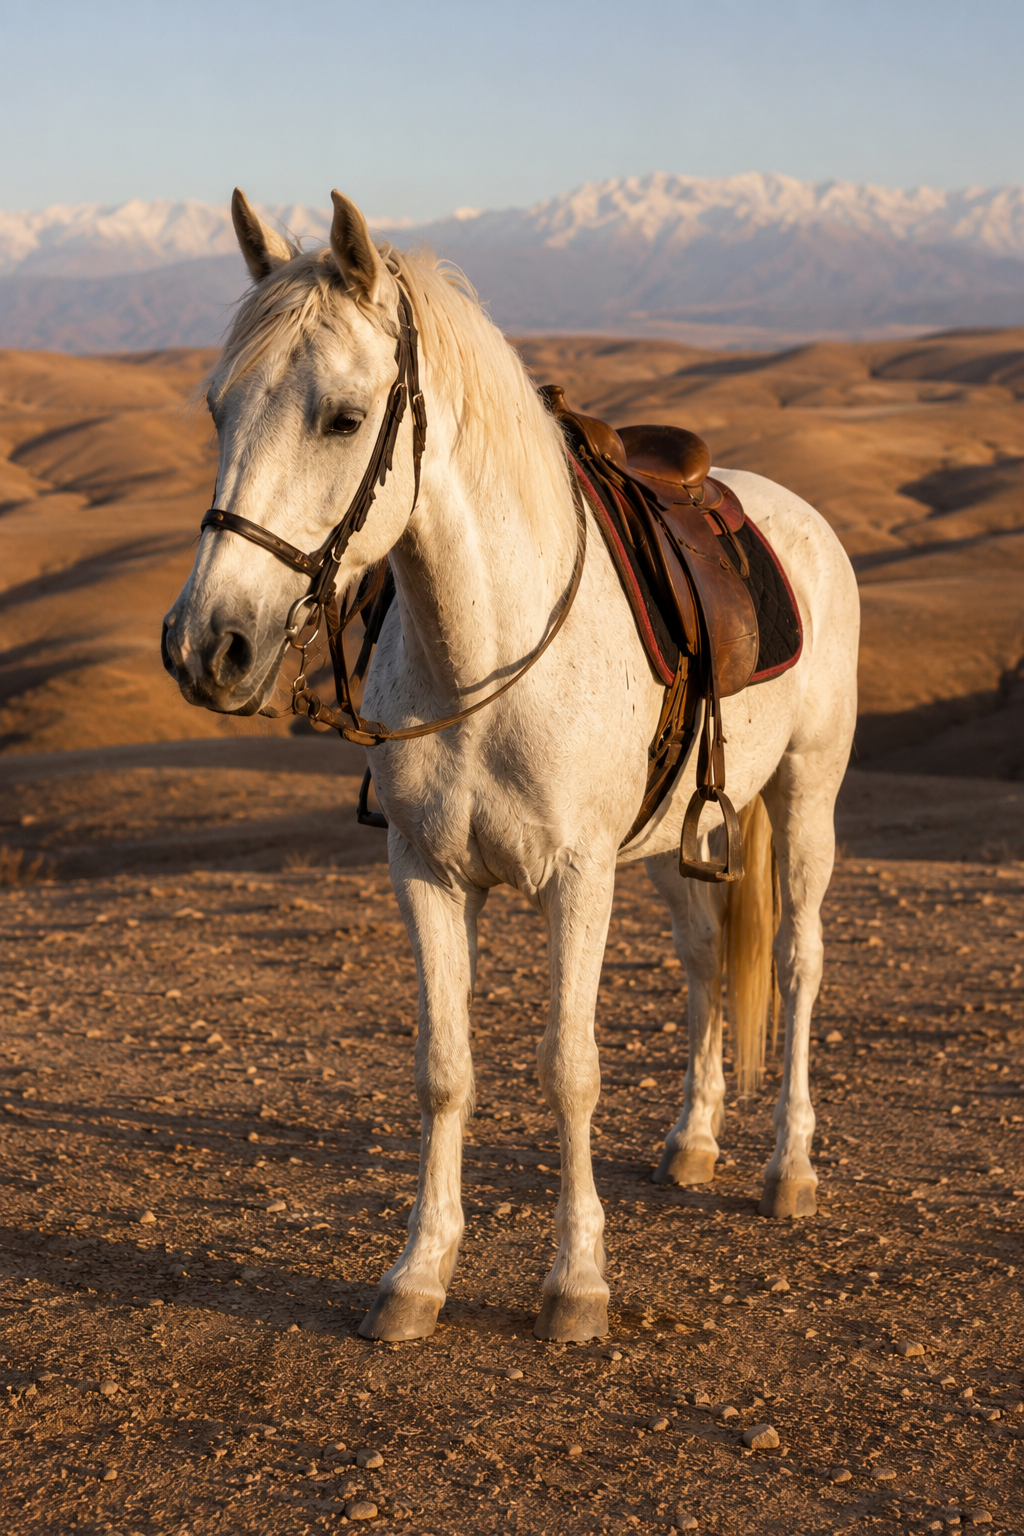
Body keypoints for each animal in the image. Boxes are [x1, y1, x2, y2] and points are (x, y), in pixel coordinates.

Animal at [161, 187, 860, 1344]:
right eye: (218, 410)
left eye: (342, 417)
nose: (205, 646)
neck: (485, 650)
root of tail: (790, 510)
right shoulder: (429, 875)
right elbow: (445, 1072)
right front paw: (417, 1275)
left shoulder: (575, 879)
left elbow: (568, 1070)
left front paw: (575, 1284)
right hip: (679, 833)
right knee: (708, 958)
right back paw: (693, 1140)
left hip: (807, 793)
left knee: (799, 962)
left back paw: (788, 1169)